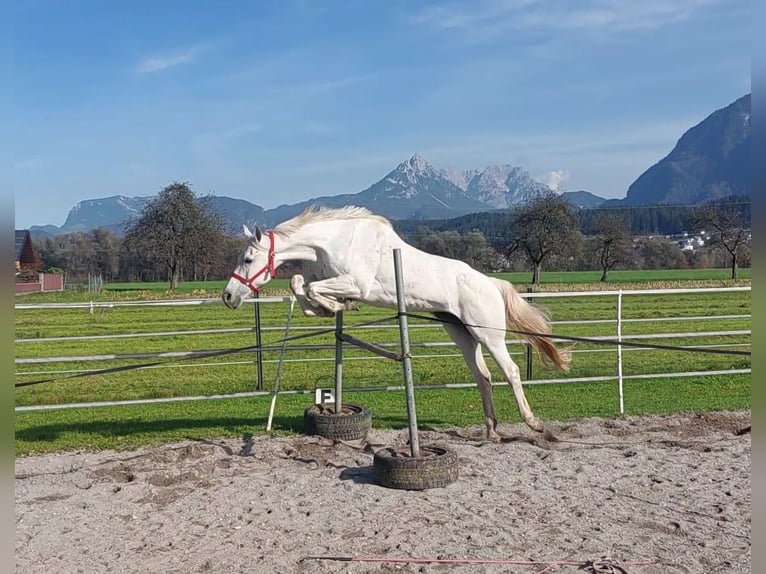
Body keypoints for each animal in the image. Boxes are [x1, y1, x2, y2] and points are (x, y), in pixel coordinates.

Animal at [222, 207, 568, 440]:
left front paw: (334, 306)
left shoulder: (356, 284)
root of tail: (492, 283)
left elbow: (310, 288)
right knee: (483, 377)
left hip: (489, 335)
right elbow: (300, 285)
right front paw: (327, 309)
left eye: (248, 259)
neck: (335, 242)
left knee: (510, 371)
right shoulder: (328, 279)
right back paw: (491, 430)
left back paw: (533, 423)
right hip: (461, 333)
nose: (228, 296)